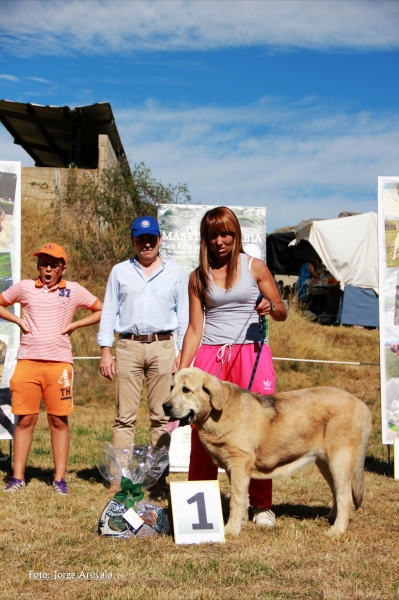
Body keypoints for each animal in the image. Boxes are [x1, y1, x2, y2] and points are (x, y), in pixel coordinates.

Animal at [162, 368, 372, 536]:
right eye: (171, 388)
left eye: (186, 390)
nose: (165, 406)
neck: (219, 412)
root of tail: (363, 406)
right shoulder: (234, 469)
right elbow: (243, 498)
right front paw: (241, 523)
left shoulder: (239, 464)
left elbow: (236, 499)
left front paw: (231, 530)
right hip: (325, 463)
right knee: (337, 491)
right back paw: (330, 517)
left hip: (339, 460)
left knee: (345, 496)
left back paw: (337, 530)